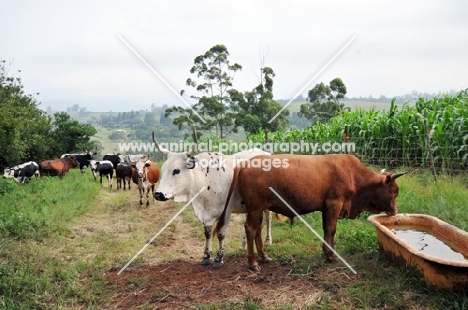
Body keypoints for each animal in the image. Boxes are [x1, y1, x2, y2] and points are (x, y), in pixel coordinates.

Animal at [152, 132, 272, 268]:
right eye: (163, 170)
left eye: (176, 170)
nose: (158, 194)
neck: (207, 178)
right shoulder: (207, 213)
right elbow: (208, 233)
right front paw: (206, 256)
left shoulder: (226, 211)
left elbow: (221, 234)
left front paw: (219, 259)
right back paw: (243, 243)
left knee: (268, 218)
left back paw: (268, 240)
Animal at [217, 155, 406, 272]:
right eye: (393, 192)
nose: (395, 211)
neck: (353, 174)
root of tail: (246, 164)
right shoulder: (334, 204)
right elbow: (331, 229)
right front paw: (331, 255)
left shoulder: (326, 207)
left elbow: (326, 229)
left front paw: (326, 252)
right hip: (255, 208)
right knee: (250, 229)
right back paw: (253, 263)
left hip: (259, 208)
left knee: (257, 229)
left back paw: (264, 257)